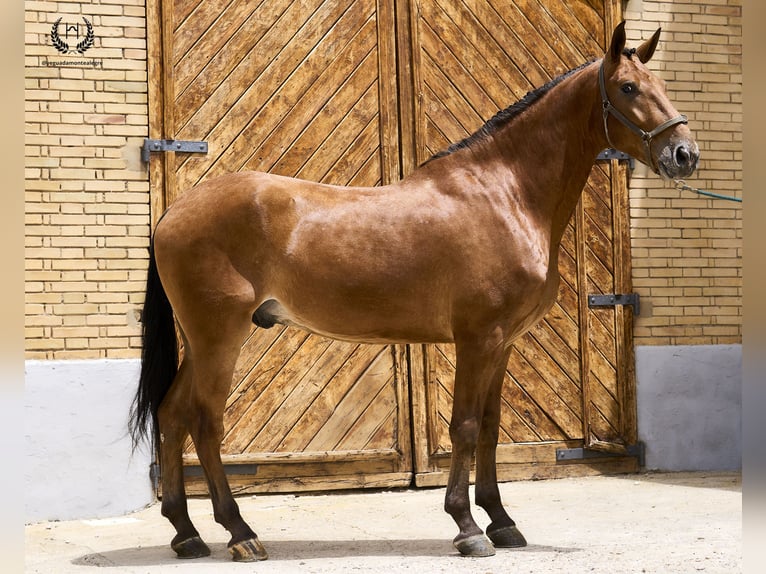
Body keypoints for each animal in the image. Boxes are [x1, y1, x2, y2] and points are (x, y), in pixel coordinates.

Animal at [130, 23, 696, 564]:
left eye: (664, 85)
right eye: (628, 88)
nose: (684, 154)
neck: (505, 194)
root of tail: (175, 212)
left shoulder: (503, 343)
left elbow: (489, 427)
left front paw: (502, 521)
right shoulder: (477, 338)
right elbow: (464, 427)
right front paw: (467, 528)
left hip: (200, 342)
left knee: (171, 414)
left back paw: (187, 534)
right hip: (218, 338)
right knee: (204, 423)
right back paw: (241, 534)